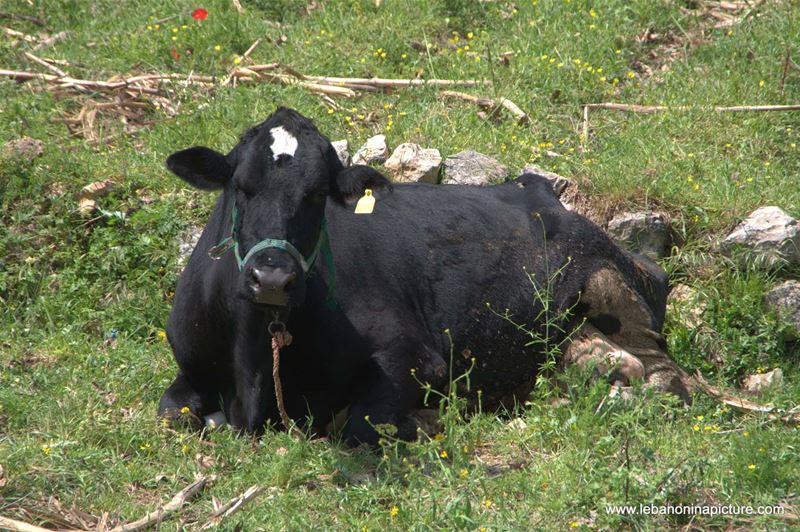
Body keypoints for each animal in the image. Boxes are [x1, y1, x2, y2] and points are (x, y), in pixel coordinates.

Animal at [159, 107, 692, 444]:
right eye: (241, 186)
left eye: (317, 193)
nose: (272, 279)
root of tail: (544, 194)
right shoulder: (191, 367)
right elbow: (173, 414)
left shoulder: (417, 358)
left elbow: (356, 426)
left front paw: (428, 420)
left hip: (610, 287)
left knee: (666, 380)